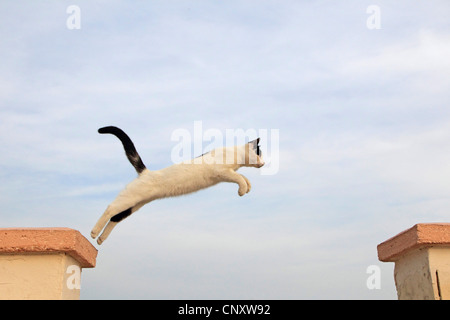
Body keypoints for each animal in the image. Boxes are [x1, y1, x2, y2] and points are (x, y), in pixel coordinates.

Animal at [90, 125, 264, 245]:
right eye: (260, 154)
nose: (264, 163)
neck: (236, 153)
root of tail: (146, 172)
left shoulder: (228, 173)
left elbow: (243, 177)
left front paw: (247, 187)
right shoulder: (222, 172)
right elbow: (239, 177)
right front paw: (242, 190)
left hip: (135, 204)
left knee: (116, 217)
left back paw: (100, 239)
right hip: (130, 198)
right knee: (110, 208)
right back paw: (94, 232)